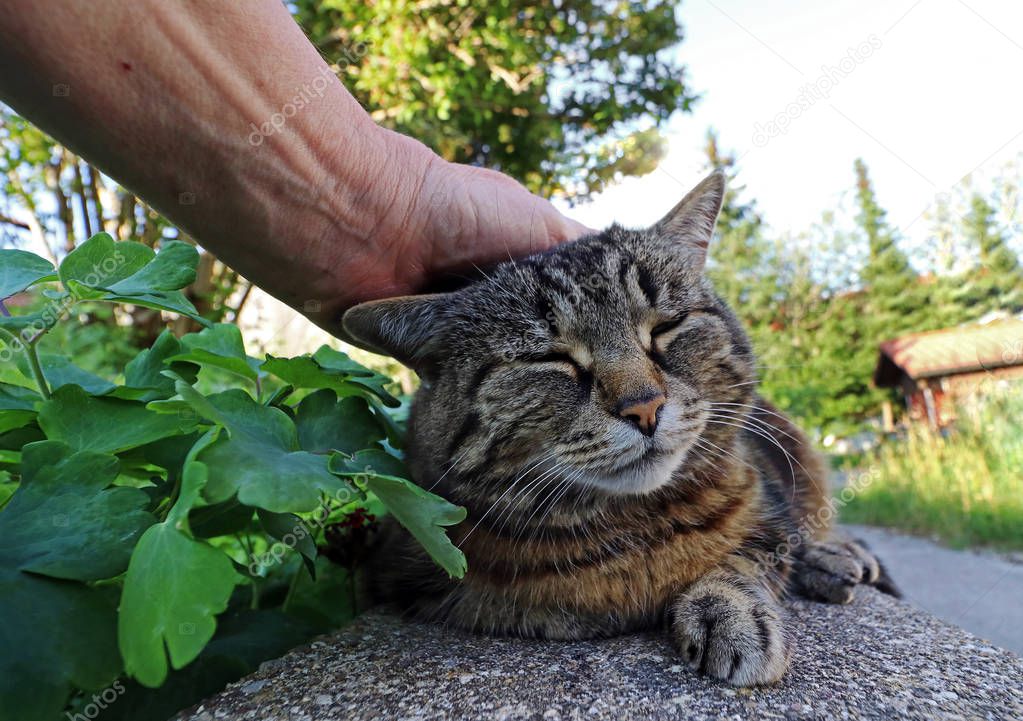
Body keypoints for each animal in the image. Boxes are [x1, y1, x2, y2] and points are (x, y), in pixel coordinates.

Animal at [341, 171, 896, 683]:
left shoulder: (766, 508)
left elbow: (747, 556)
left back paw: (836, 555)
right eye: (550, 359)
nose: (644, 407)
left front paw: (731, 607)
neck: (637, 527)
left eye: (666, 327)